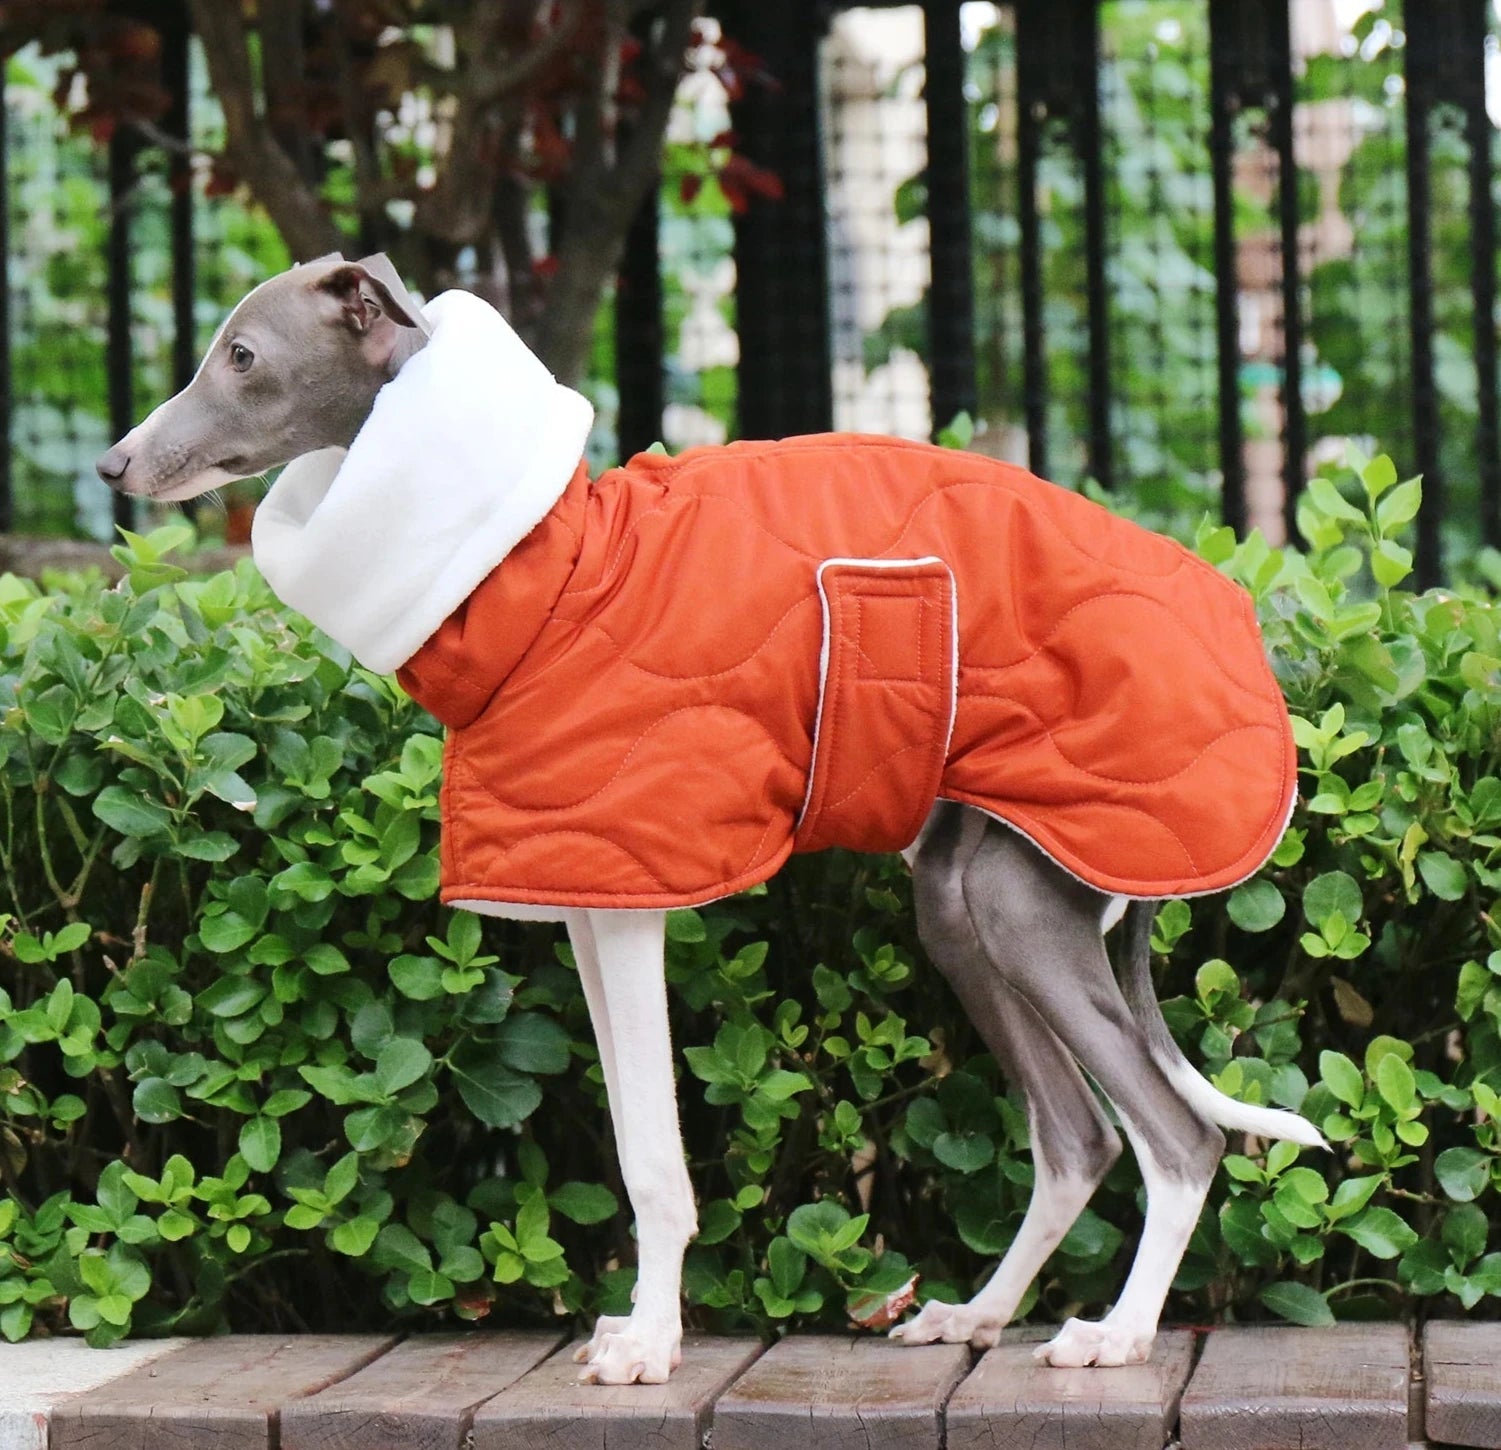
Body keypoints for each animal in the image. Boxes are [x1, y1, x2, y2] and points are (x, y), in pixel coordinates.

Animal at [102, 255, 1326, 1392]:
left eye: (242, 355)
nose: (114, 463)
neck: (542, 565)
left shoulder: (636, 893)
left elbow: (654, 1155)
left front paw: (648, 1345)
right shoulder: (588, 899)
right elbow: (632, 1134)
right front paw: (642, 1326)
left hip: (1030, 899)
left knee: (1178, 1136)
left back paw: (1116, 1334)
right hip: (962, 900)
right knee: (1075, 1135)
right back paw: (974, 1314)